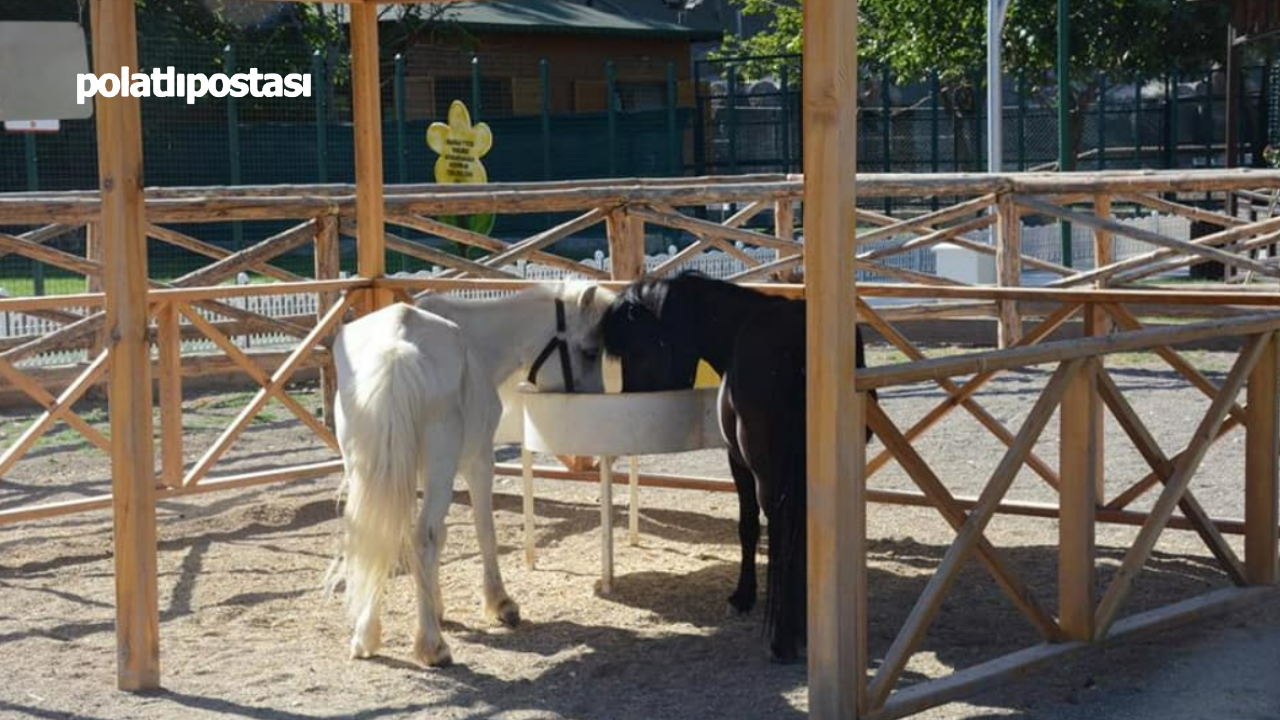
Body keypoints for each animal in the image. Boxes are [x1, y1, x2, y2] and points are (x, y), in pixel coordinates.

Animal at [327, 283, 611, 666]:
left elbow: (430, 535)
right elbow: (483, 532)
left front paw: (436, 607)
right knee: (423, 538)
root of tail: (397, 347)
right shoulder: (479, 463)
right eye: (590, 351)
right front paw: (500, 604)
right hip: (442, 466)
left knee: (377, 533)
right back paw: (432, 646)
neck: (476, 345)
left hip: (367, 468)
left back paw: (366, 636)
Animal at [599, 270, 870, 661]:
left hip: (767, 476)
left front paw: (743, 596)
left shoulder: (738, 463)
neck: (738, 326)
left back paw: (783, 637)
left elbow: (749, 527)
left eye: (637, 350)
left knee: (779, 529)